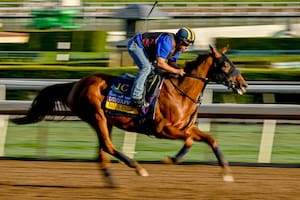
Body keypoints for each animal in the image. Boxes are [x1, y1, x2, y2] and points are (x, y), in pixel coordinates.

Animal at [10, 45, 247, 186]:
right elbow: (189, 140)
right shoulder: (163, 129)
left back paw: (111, 181)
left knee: (102, 149)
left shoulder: (185, 126)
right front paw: (171, 159)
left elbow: (210, 139)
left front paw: (227, 173)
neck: (181, 91)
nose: (243, 85)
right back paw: (137, 167)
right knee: (108, 146)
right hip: (96, 115)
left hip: (105, 120)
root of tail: (76, 83)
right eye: (225, 64)